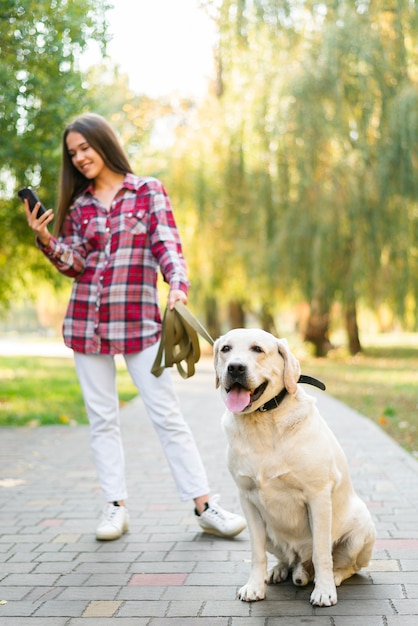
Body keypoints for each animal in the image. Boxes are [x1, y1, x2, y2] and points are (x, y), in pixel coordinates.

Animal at [216, 326, 376, 604]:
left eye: (257, 349)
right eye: (226, 349)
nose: (235, 368)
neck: (262, 421)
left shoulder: (318, 495)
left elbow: (322, 552)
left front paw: (323, 590)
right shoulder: (247, 499)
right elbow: (256, 553)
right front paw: (255, 586)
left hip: (363, 530)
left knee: (349, 566)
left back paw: (334, 577)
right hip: (271, 534)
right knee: (286, 559)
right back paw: (279, 570)